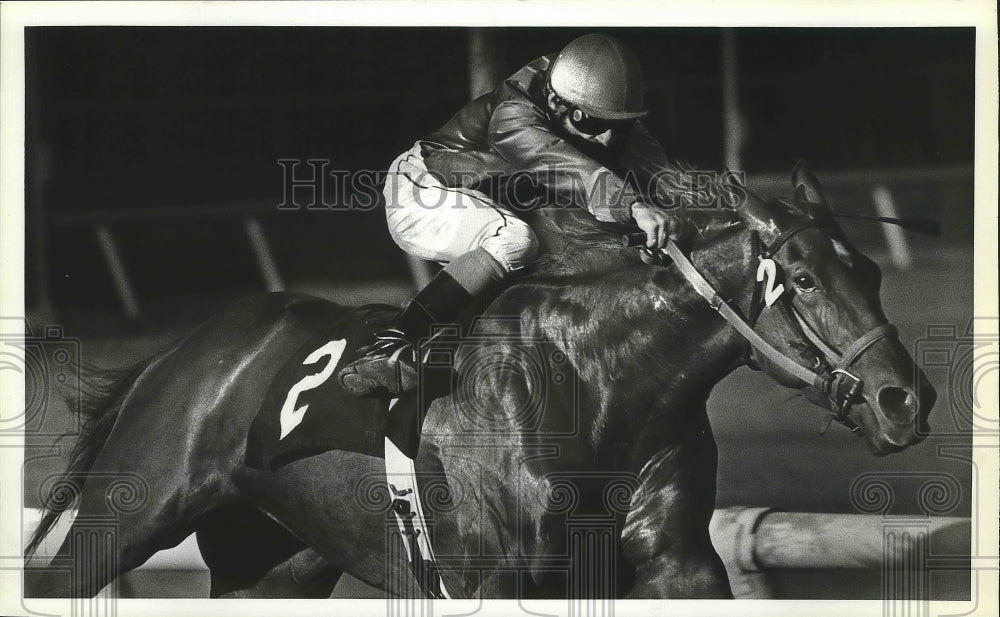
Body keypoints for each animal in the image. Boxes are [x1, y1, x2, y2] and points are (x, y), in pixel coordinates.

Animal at [23, 166, 932, 600]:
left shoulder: (678, 561)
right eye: (804, 279)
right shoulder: (499, 577)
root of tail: (182, 351)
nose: (906, 399)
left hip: (274, 560)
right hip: (129, 513)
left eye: (871, 270)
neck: (600, 381)